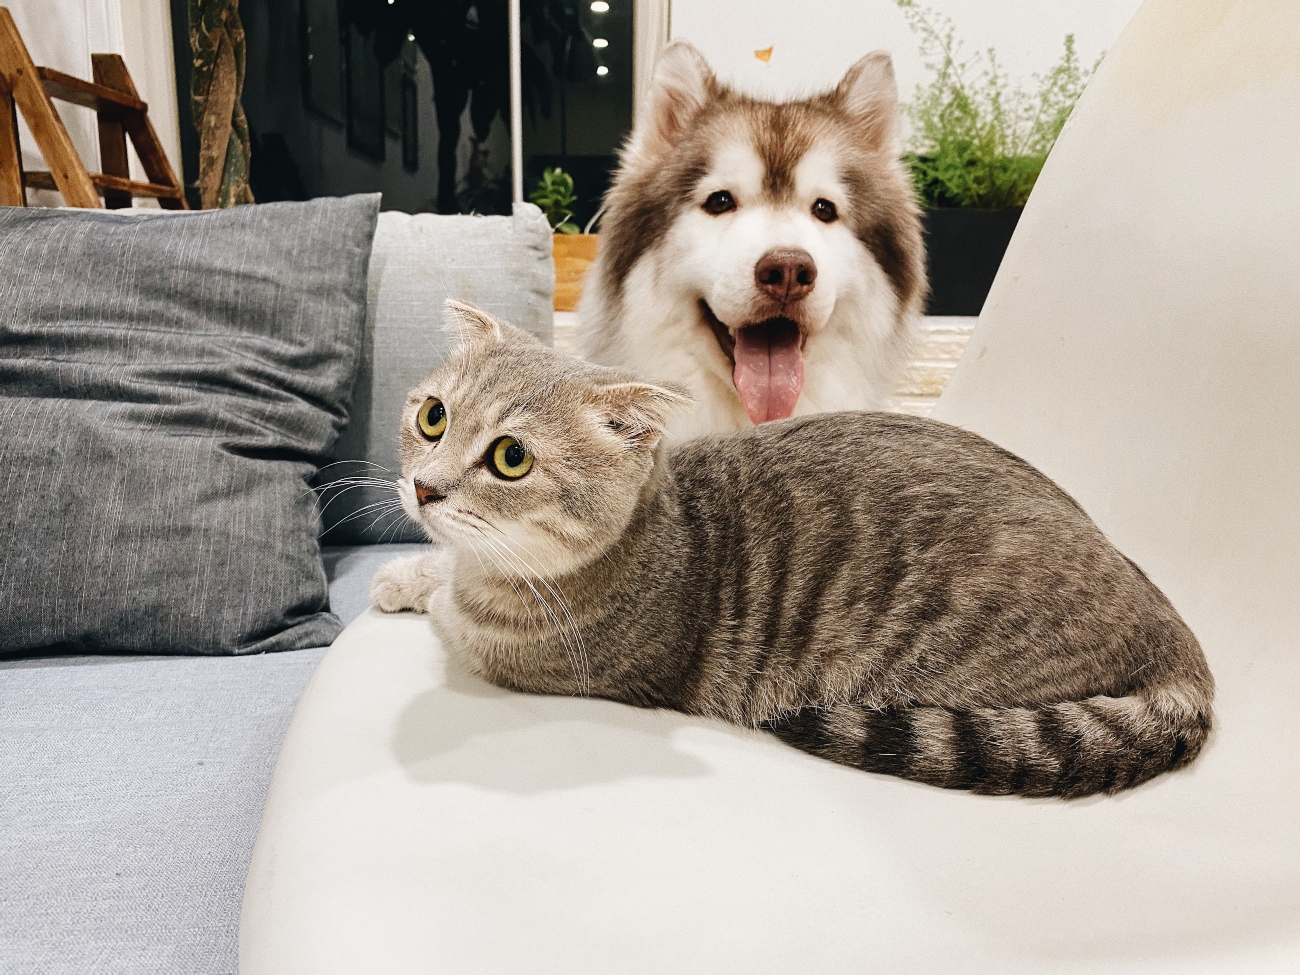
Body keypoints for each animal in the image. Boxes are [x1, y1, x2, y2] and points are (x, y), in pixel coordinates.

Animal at [371, 301, 1211, 795]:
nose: (425, 488)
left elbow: (453, 607)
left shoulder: (518, 656)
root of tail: (1173, 631)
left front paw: (425, 584)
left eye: (510, 457)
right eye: (434, 416)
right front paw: (404, 572)